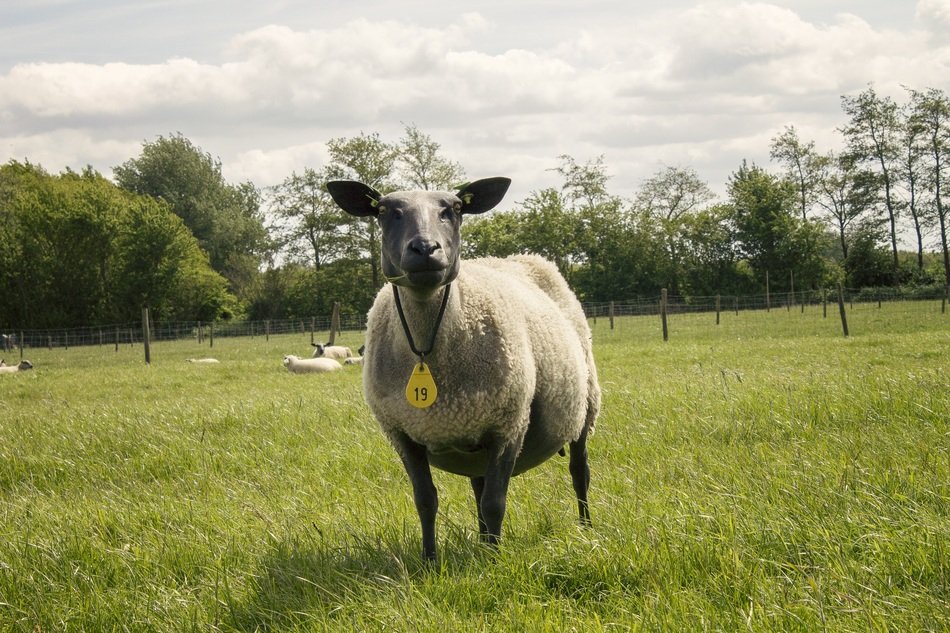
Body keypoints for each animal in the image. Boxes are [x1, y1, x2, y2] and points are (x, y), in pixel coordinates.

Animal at [327, 177, 600, 562]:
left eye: (453, 209)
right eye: (383, 211)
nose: (426, 248)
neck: (427, 350)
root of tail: (527, 257)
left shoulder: (509, 425)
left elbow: (495, 503)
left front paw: (495, 564)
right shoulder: (402, 434)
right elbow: (426, 501)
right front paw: (430, 561)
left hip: (584, 408)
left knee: (579, 472)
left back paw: (586, 529)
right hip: (473, 435)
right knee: (478, 486)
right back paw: (484, 541)